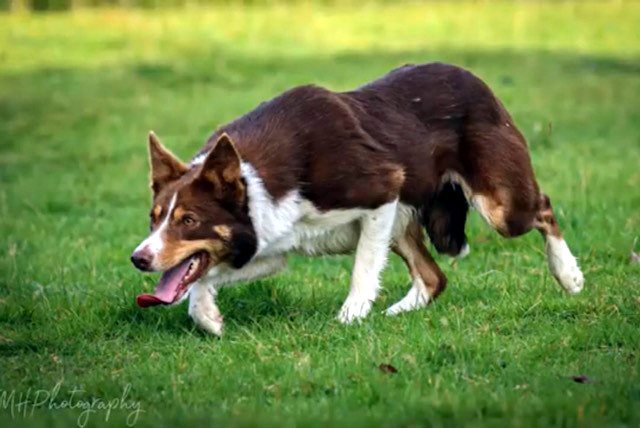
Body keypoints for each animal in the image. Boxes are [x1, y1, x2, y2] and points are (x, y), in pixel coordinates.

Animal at [130, 62, 584, 334]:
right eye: (154, 218)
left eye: (189, 220)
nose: (139, 258)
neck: (259, 176)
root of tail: (471, 76)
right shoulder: (268, 247)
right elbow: (200, 279)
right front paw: (208, 317)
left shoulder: (381, 192)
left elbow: (363, 269)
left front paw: (351, 315)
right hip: (404, 223)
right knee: (434, 277)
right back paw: (398, 312)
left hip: (499, 206)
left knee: (543, 207)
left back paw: (568, 275)